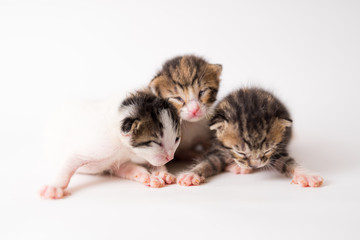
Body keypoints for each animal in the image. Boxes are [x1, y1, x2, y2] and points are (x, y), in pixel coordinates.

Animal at [39, 90, 181, 199]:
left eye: (176, 139)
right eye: (156, 142)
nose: (170, 157)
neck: (122, 147)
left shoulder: (119, 161)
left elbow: (131, 168)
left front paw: (156, 175)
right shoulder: (95, 146)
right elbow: (68, 164)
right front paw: (54, 187)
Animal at [177, 87, 324, 188]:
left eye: (267, 150)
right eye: (240, 152)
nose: (254, 165)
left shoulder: (276, 150)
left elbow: (287, 162)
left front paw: (306, 175)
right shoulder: (219, 148)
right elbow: (209, 162)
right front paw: (192, 174)